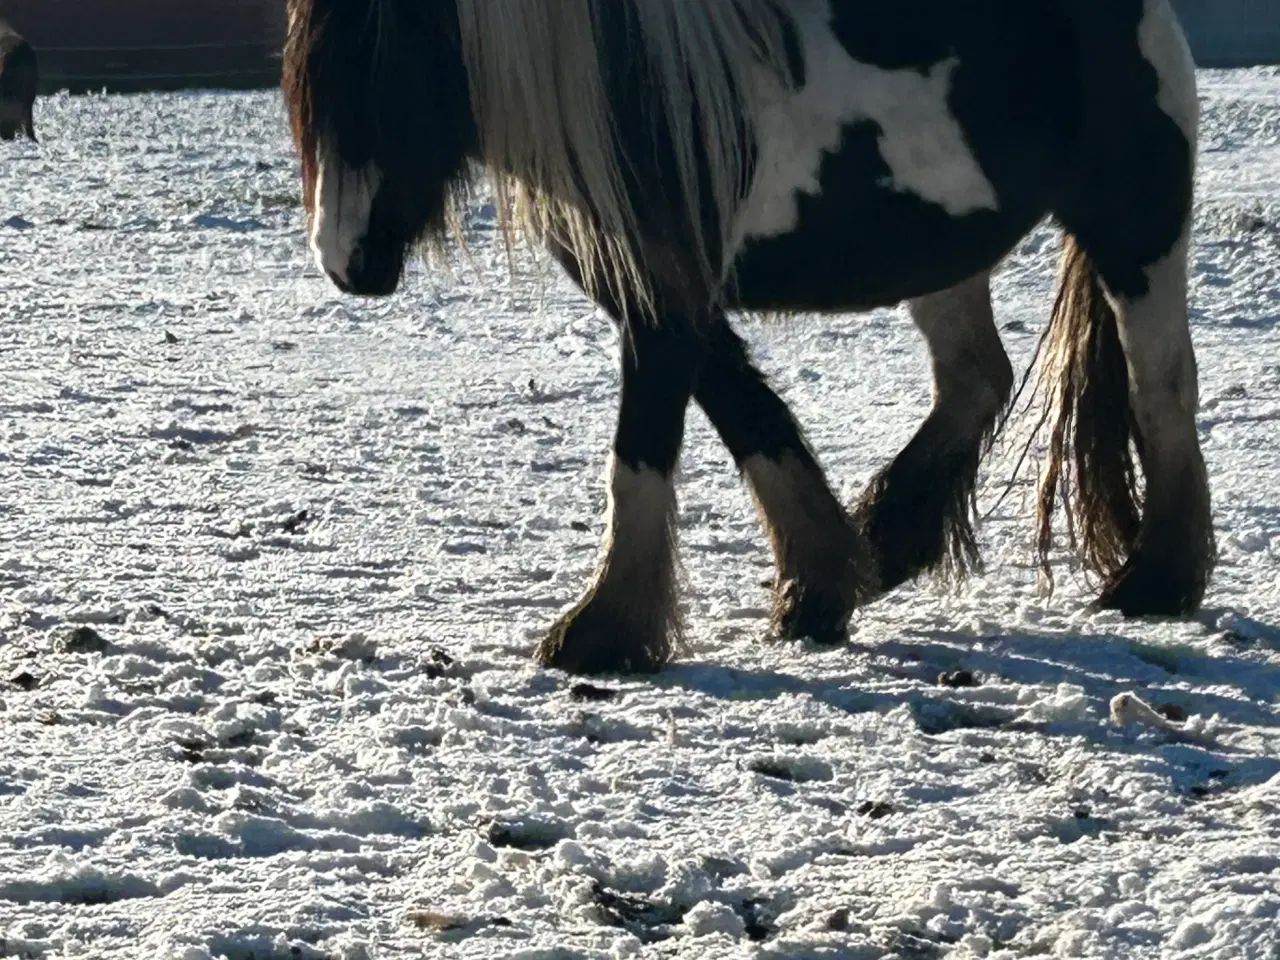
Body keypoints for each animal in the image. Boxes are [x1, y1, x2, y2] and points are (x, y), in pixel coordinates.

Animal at [285, 0, 1213, 675]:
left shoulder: (662, 298)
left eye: (388, 71)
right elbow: (747, 411)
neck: (627, 90)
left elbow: (641, 452)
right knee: (977, 377)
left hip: (1136, 233)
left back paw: (1156, 581)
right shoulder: (658, 290)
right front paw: (822, 581)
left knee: (1159, 387)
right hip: (943, 253)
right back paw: (893, 538)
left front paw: (604, 634)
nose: (344, 261)